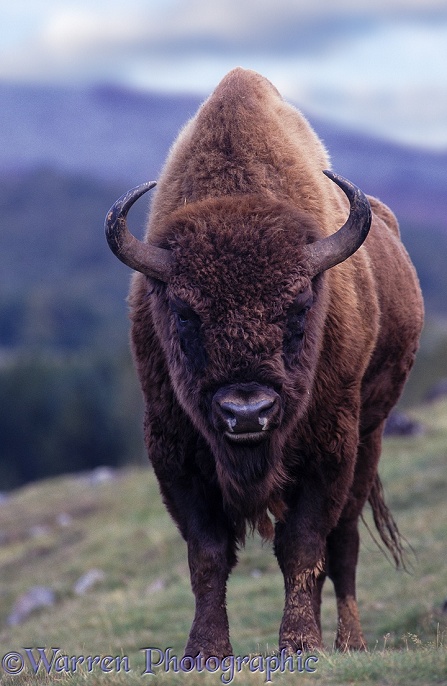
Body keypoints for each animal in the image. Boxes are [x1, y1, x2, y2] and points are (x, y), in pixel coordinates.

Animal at [105, 67, 424, 660]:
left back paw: (349, 643)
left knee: (344, 542)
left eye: (300, 306)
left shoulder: (330, 447)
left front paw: (298, 644)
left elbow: (304, 545)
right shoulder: (173, 449)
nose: (247, 412)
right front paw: (205, 651)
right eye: (183, 312)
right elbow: (207, 553)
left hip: (371, 434)